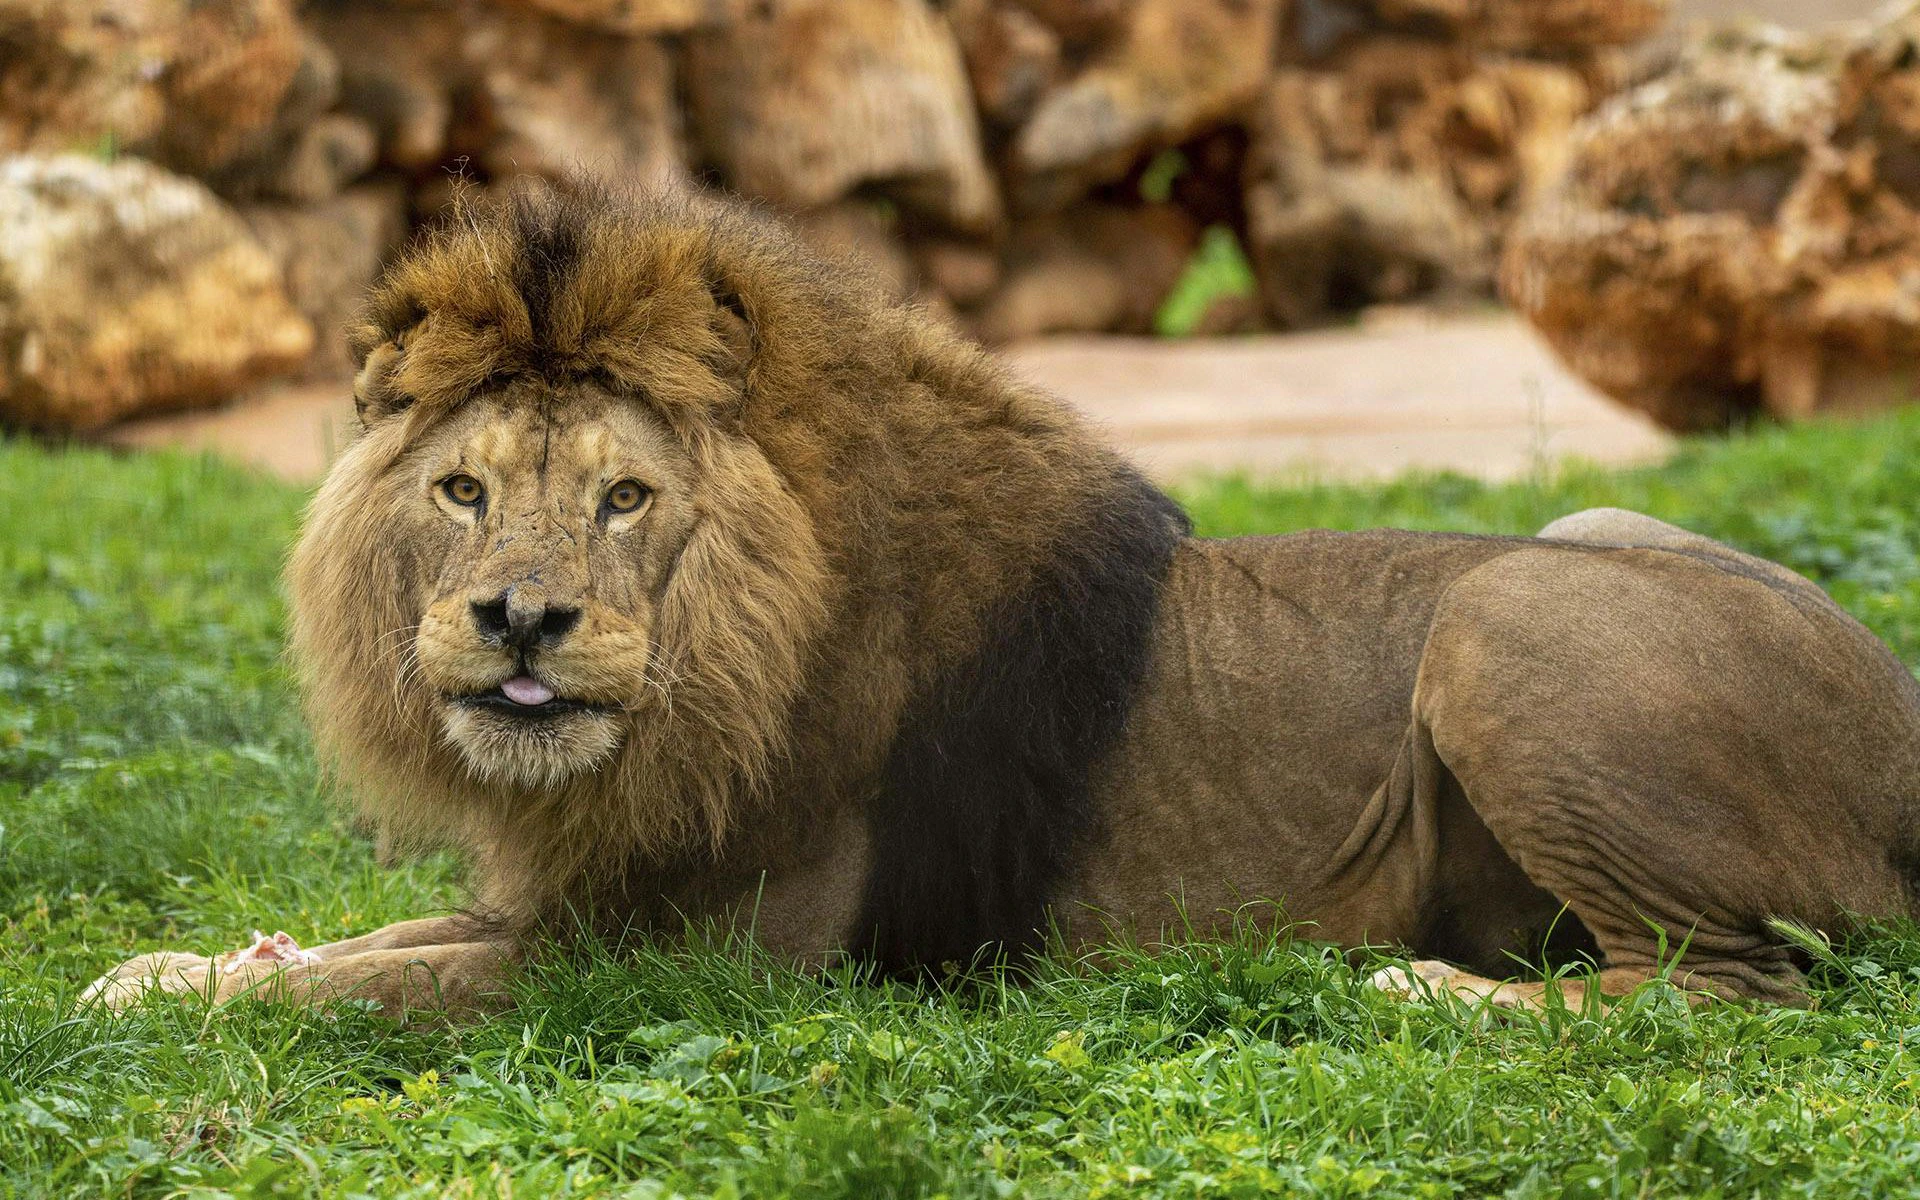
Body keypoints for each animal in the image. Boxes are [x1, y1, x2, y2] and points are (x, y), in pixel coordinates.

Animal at [87, 182, 1920, 1018]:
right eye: (464, 493)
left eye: (624, 499)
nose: (520, 622)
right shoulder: (584, 893)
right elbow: (368, 938)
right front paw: (162, 967)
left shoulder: (698, 963)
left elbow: (374, 983)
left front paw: (206, 990)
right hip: (1574, 531)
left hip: (1505, 620)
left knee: (1724, 988)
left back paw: (1423, 991)